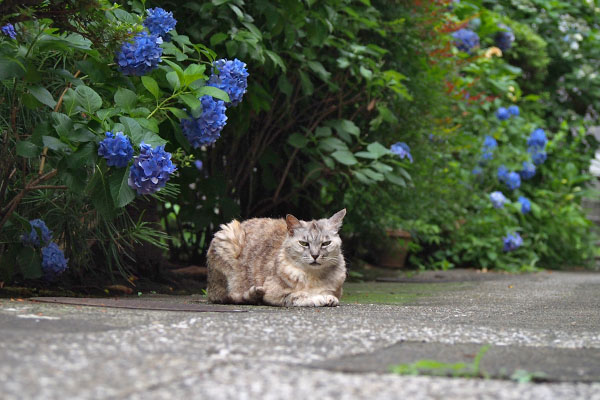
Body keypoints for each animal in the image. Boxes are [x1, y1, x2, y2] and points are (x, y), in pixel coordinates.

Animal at [206, 209, 346, 306]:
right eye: (304, 243)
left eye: (326, 243)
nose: (315, 255)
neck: (313, 277)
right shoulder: (273, 292)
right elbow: (298, 295)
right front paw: (318, 298)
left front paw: (328, 297)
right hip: (228, 236)